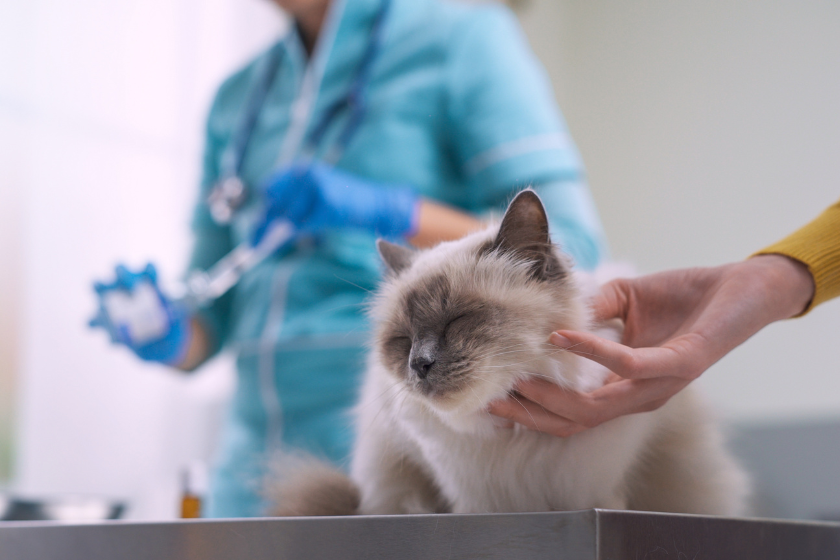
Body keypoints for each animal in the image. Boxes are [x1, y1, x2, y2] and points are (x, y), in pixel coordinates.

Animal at [270, 189, 748, 516]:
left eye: (458, 321)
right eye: (402, 340)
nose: (418, 364)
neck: (516, 439)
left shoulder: (593, 489)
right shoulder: (471, 498)